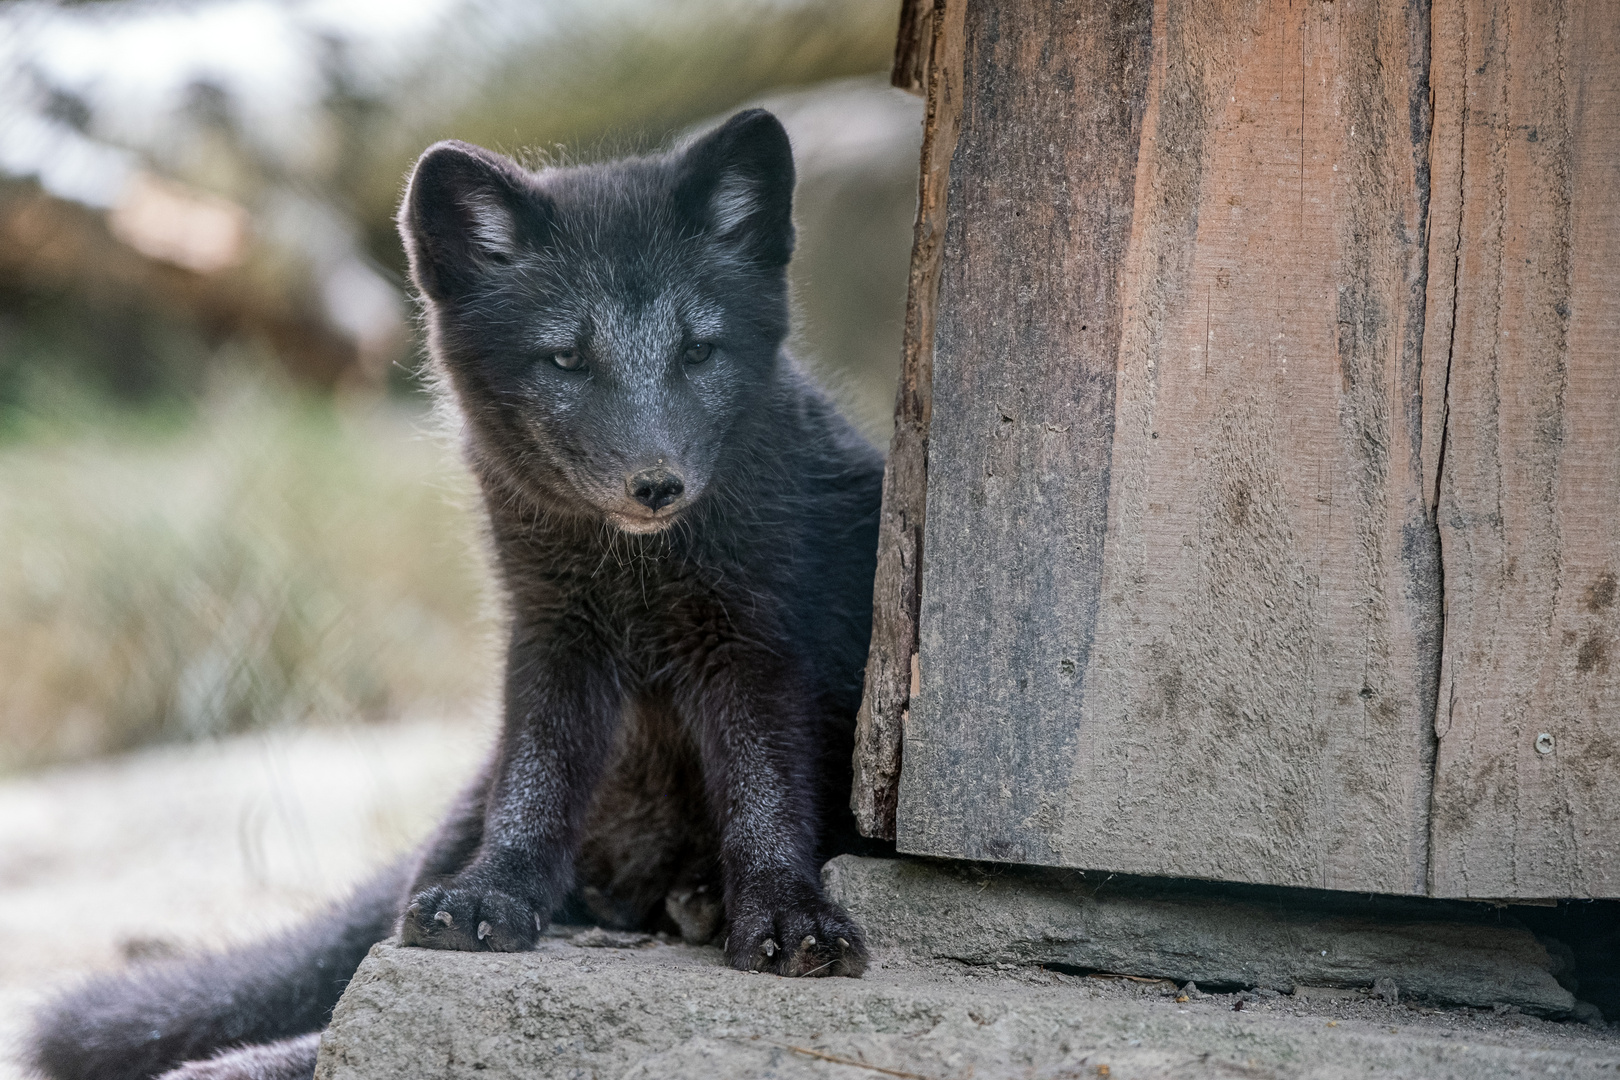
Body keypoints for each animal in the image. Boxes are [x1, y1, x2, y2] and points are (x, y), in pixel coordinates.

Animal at [25, 107, 881, 1080]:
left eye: (700, 351)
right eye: (565, 357)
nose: (655, 485)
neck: (637, 583)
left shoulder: (756, 642)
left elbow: (766, 787)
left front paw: (785, 913)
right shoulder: (551, 634)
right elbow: (533, 784)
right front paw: (493, 891)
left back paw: (701, 897)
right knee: (361, 974)